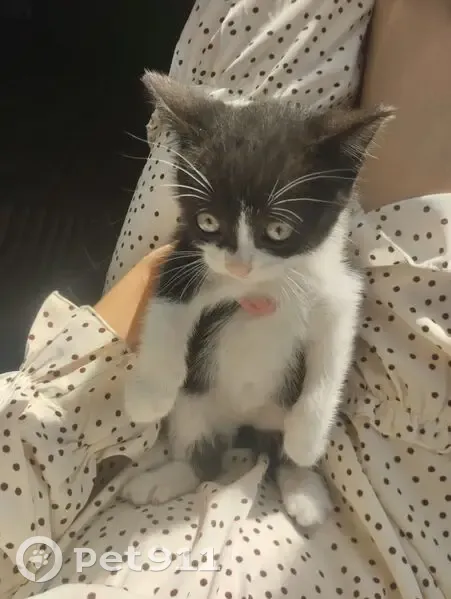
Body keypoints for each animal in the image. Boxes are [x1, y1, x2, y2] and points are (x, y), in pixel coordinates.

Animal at [121, 71, 393, 526]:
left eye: (278, 229)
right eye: (208, 221)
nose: (239, 265)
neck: (263, 285)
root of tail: (245, 422)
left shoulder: (343, 281)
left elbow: (333, 353)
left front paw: (308, 438)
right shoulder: (185, 256)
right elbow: (166, 312)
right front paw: (149, 397)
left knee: (277, 455)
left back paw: (302, 486)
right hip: (197, 405)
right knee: (202, 454)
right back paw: (167, 477)